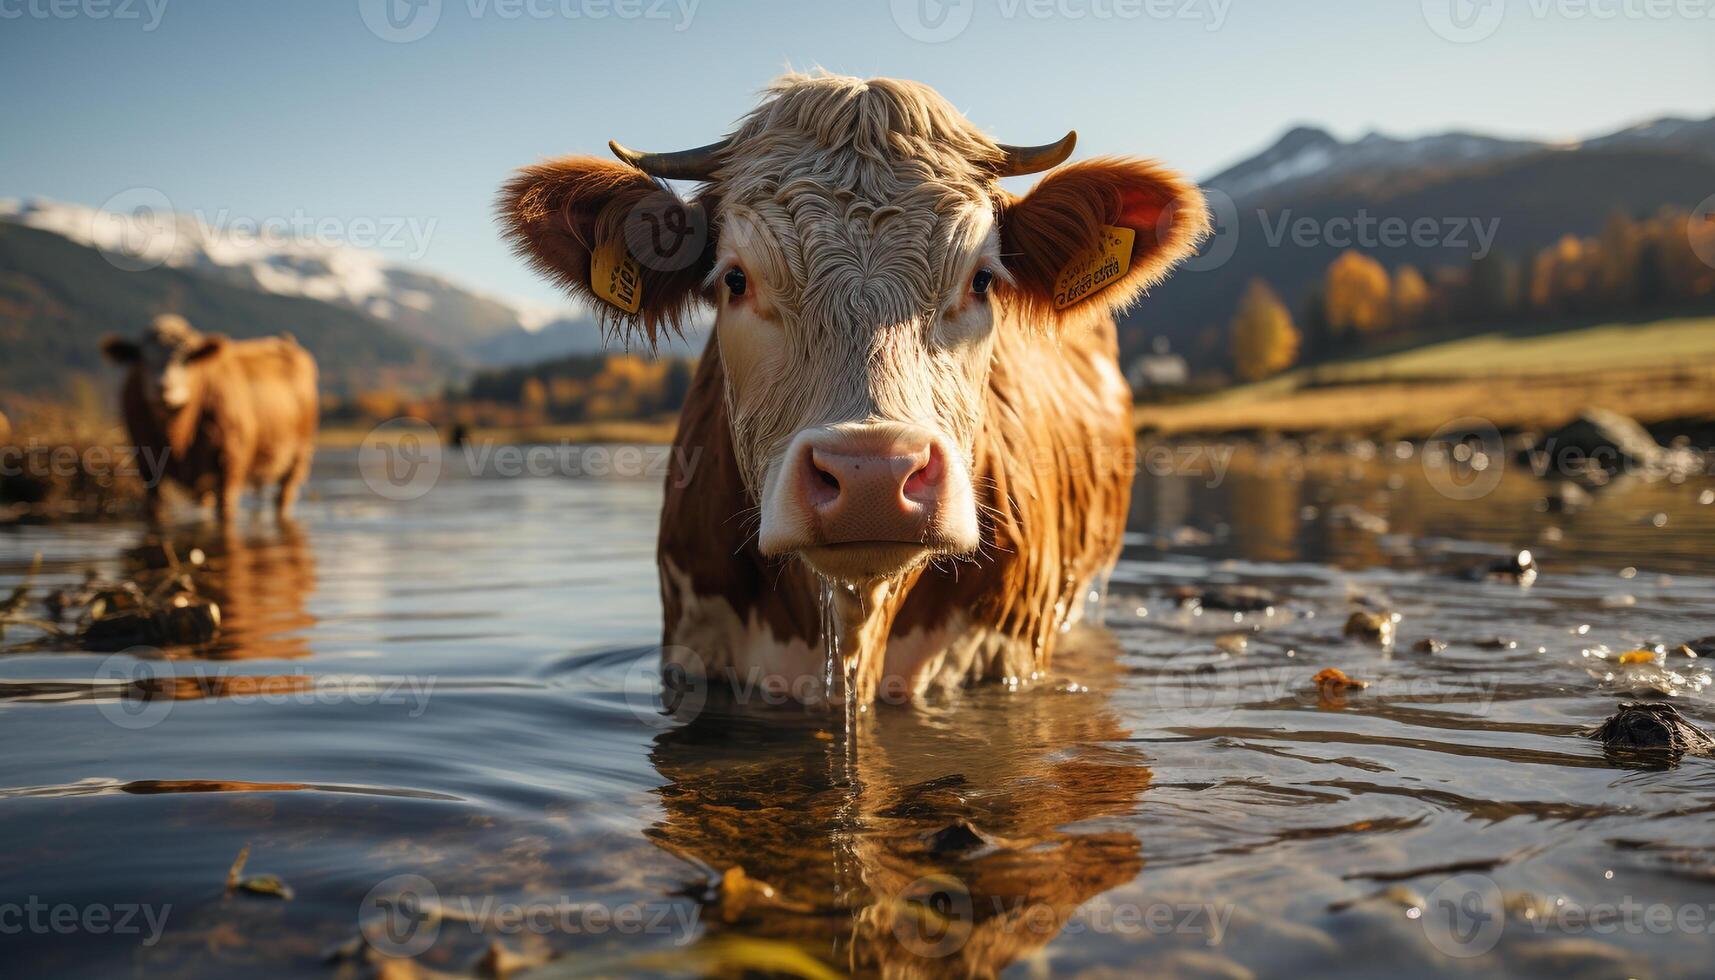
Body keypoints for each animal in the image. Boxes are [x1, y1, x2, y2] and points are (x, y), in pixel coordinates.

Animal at [103, 317, 322, 525]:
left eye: (188, 358)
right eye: (142, 359)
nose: (163, 387)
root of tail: (285, 341)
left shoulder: (230, 460)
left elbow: (225, 510)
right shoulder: (146, 461)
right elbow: (154, 508)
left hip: (298, 456)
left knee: (283, 496)